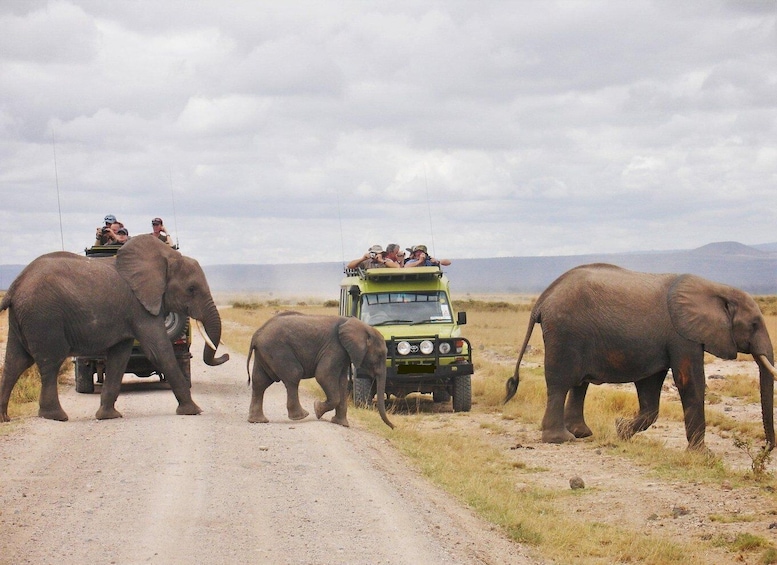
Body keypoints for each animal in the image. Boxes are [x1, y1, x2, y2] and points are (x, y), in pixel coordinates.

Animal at [0, 231, 229, 420]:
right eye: (191, 289)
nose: (225, 356)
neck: (166, 257)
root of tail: (15, 285)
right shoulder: (139, 307)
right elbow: (160, 351)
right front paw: (193, 411)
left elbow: (120, 357)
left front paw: (108, 416)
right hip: (44, 317)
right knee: (49, 362)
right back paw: (55, 416)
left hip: (26, 317)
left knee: (15, 361)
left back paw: (5, 418)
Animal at [246, 312, 394, 428]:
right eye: (380, 355)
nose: (393, 427)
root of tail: (256, 335)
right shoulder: (335, 347)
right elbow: (323, 375)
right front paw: (317, 409)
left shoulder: (344, 354)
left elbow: (342, 383)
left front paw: (341, 424)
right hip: (277, 350)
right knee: (294, 375)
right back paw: (302, 416)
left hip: (264, 353)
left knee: (260, 382)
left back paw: (258, 421)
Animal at [504, 262, 776, 452]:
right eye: (754, 324)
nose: (766, 449)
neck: (717, 289)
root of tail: (542, 300)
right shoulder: (682, 335)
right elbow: (690, 383)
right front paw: (703, 455)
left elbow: (650, 387)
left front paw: (621, 430)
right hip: (564, 333)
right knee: (561, 383)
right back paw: (561, 439)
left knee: (579, 384)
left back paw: (582, 433)